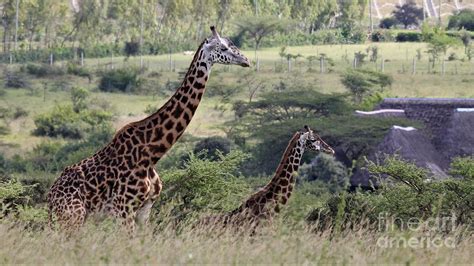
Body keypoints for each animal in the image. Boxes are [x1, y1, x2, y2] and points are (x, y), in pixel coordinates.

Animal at [47, 26, 252, 231]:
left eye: (233, 44)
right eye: (223, 48)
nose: (246, 61)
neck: (151, 154)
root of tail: (50, 197)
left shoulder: (145, 210)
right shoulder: (123, 209)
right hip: (72, 216)